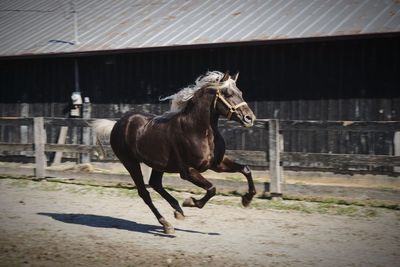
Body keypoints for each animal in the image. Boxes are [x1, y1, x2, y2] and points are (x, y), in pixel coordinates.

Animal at [92, 71, 256, 234]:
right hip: (130, 163)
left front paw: (246, 199)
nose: (249, 118)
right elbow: (212, 189)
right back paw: (167, 224)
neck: (198, 131)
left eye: (240, 92)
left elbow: (246, 169)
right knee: (144, 193)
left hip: (158, 165)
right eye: (228, 93)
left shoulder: (217, 164)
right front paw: (190, 201)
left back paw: (177, 210)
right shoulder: (188, 171)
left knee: (155, 184)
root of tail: (117, 124)